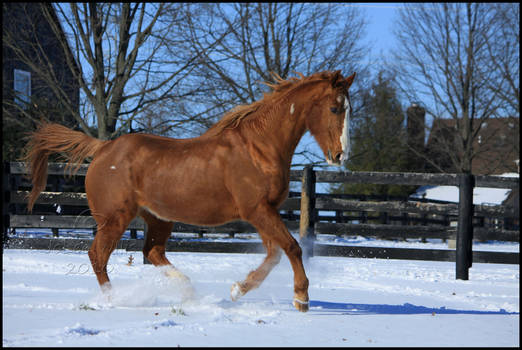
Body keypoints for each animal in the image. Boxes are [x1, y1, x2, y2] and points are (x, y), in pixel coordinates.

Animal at [26, 70, 356, 312]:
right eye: (334, 108)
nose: (341, 155)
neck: (259, 148)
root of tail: (103, 148)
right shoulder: (257, 210)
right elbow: (292, 247)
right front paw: (301, 299)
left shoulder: (266, 212)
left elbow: (274, 254)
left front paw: (238, 289)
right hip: (114, 218)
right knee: (98, 255)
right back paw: (114, 299)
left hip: (158, 218)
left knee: (152, 252)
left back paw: (189, 291)